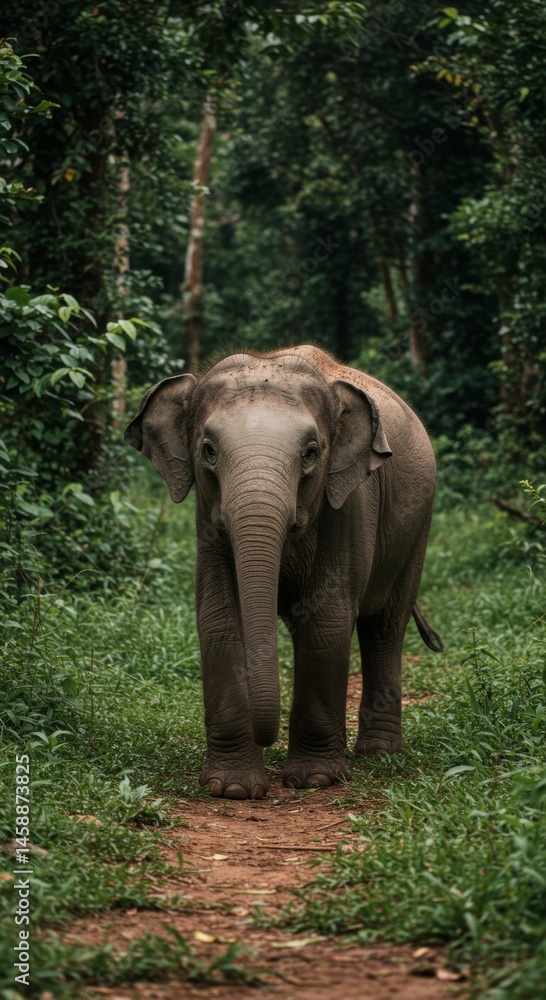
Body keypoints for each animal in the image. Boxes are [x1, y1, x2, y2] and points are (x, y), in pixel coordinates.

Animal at [125, 345, 442, 800]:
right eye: (208, 450)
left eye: (311, 453)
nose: (267, 738)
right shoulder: (207, 521)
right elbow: (220, 618)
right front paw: (232, 789)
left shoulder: (349, 504)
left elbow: (327, 620)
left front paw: (315, 780)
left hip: (418, 526)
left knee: (385, 624)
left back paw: (379, 754)